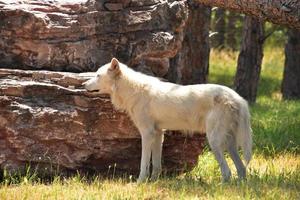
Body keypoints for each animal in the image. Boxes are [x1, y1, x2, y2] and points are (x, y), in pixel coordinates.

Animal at [83, 57, 252, 183]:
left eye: (97, 76)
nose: (83, 85)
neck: (133, 90)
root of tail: (238, 98)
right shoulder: (158, 134)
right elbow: (157, 165)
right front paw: (153, 182)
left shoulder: (147, 134)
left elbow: (144, 163)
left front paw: (140, 183)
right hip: (229, 144)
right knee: (241, 169)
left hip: (214, 142)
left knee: (227, 172)